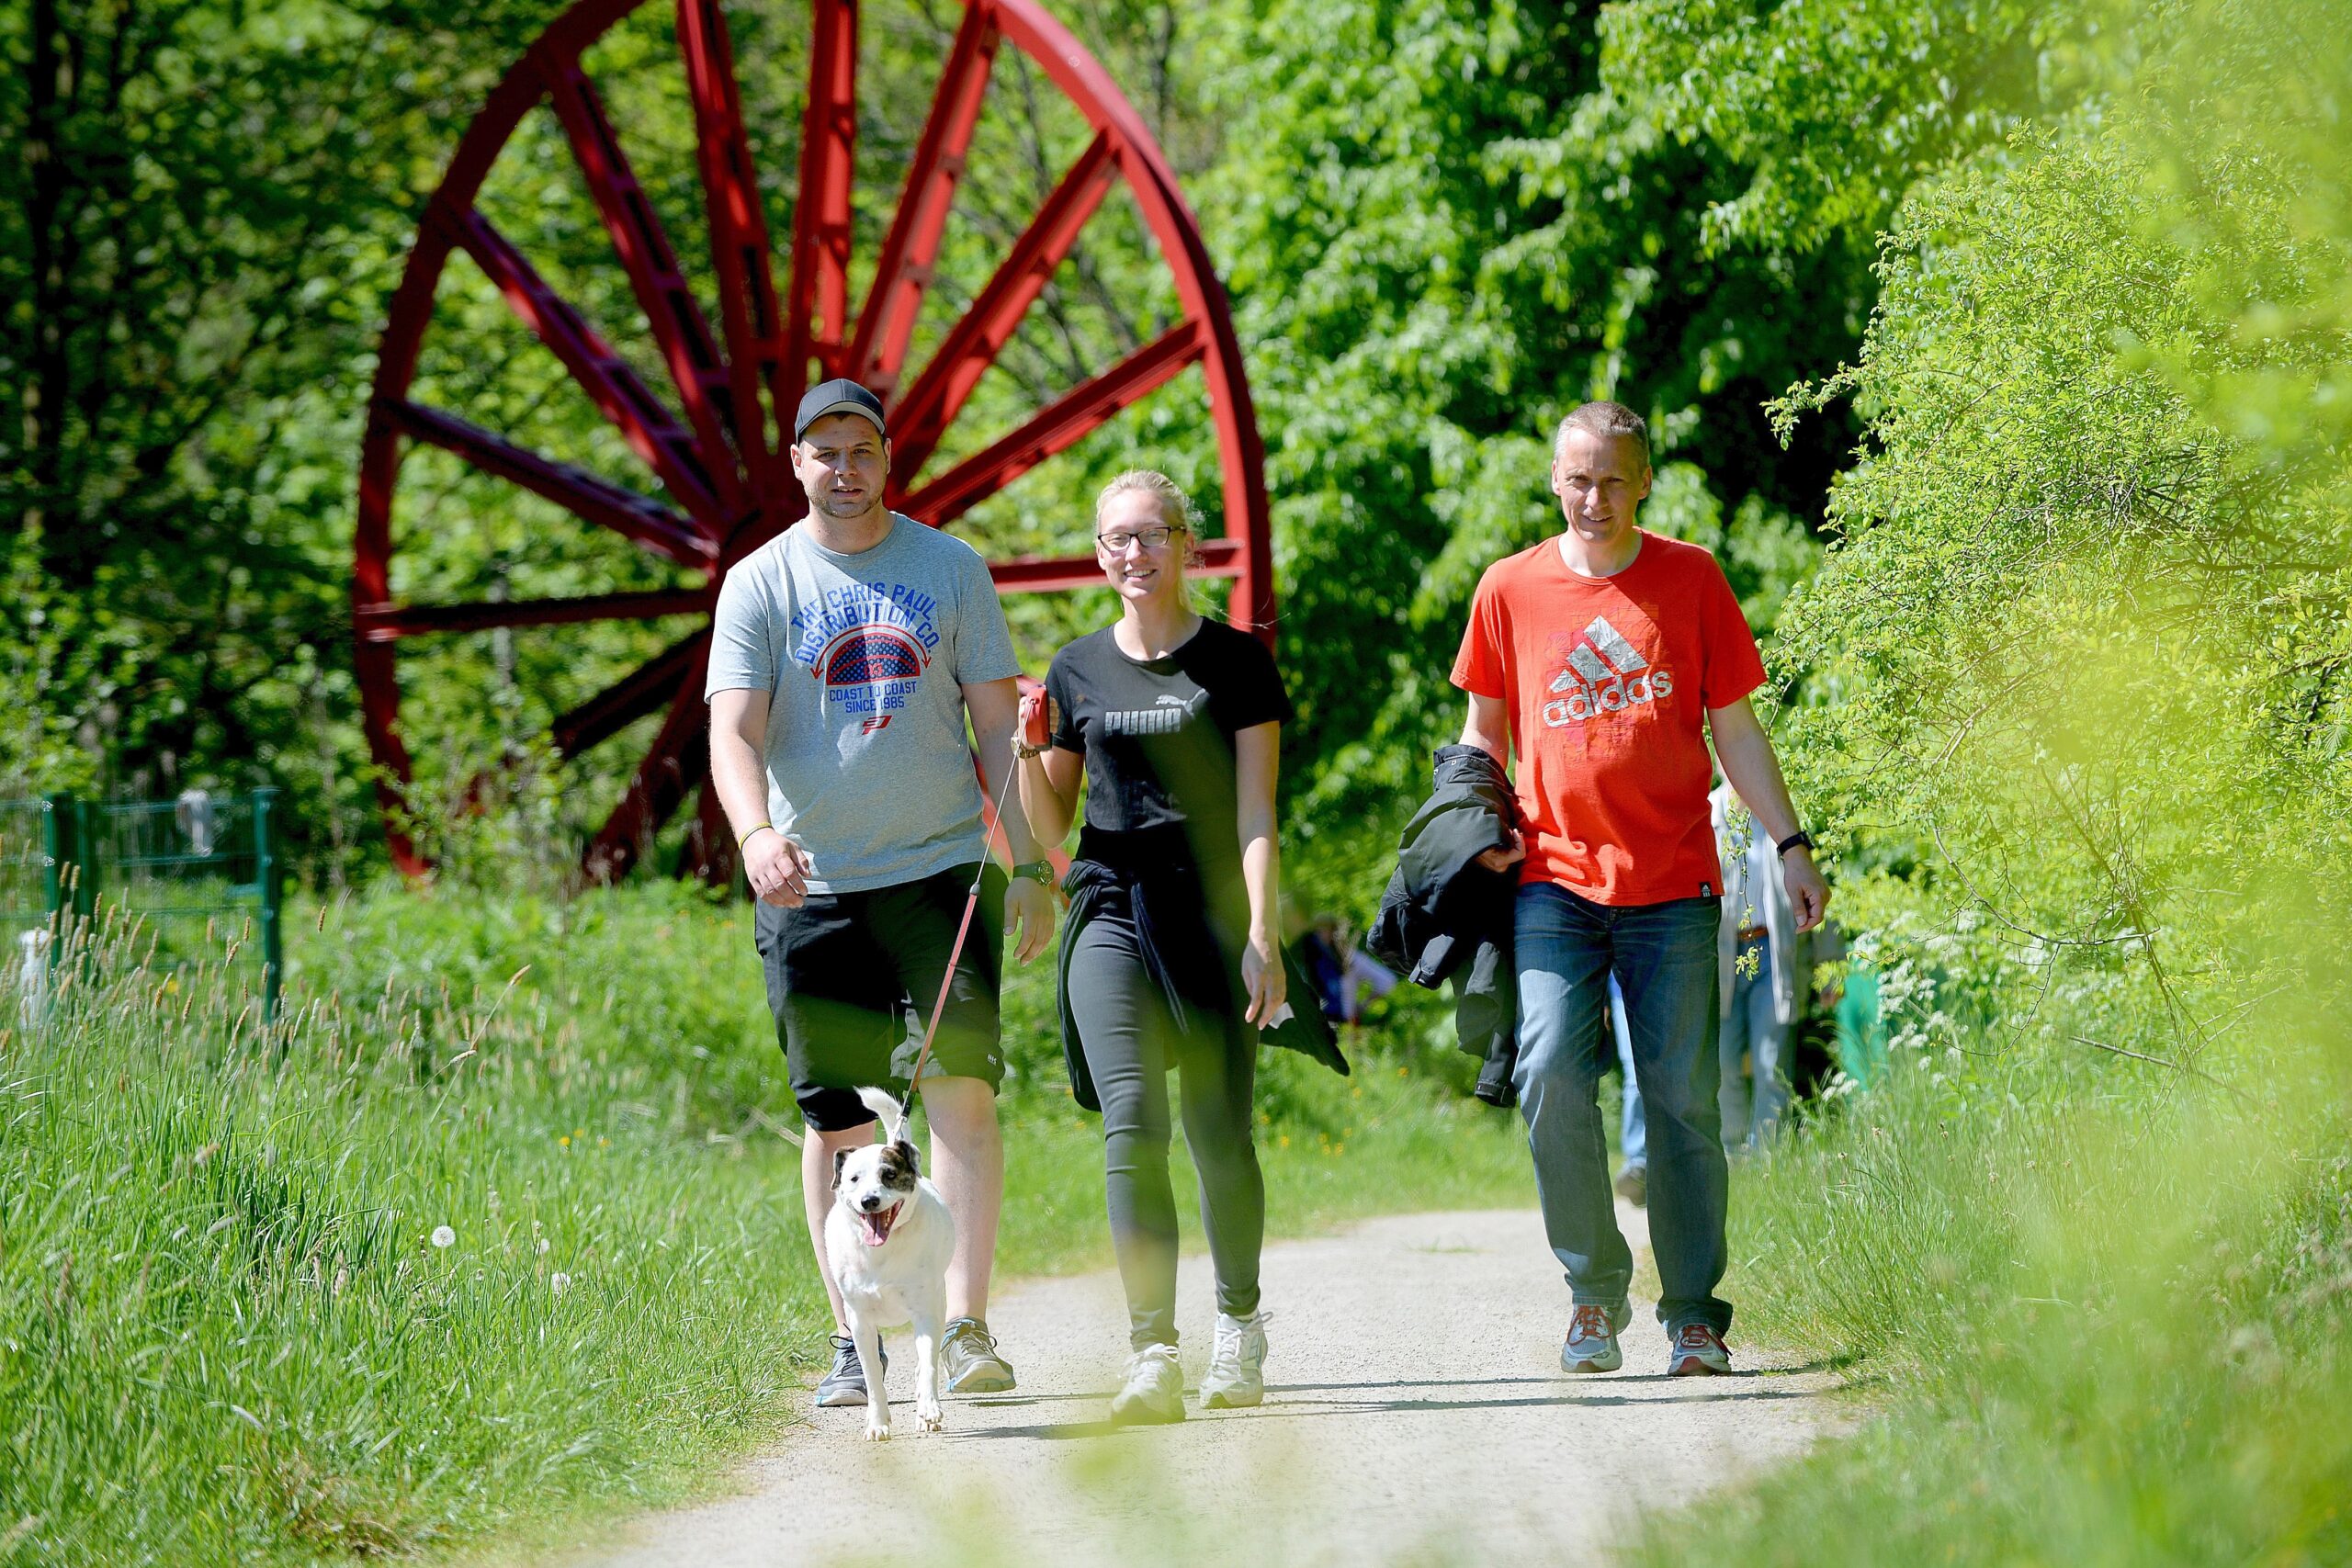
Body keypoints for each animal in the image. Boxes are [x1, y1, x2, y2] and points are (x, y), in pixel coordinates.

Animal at [818, 1090, 945, 1438]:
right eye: (853, 1179)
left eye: (889, 1174)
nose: (869, 1201)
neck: (881, 1252)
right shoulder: (860, 1322)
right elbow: (873, 1377)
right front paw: (877, 1423)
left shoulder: (926, 1312)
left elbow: (928, 1365)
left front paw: (928, 1410)